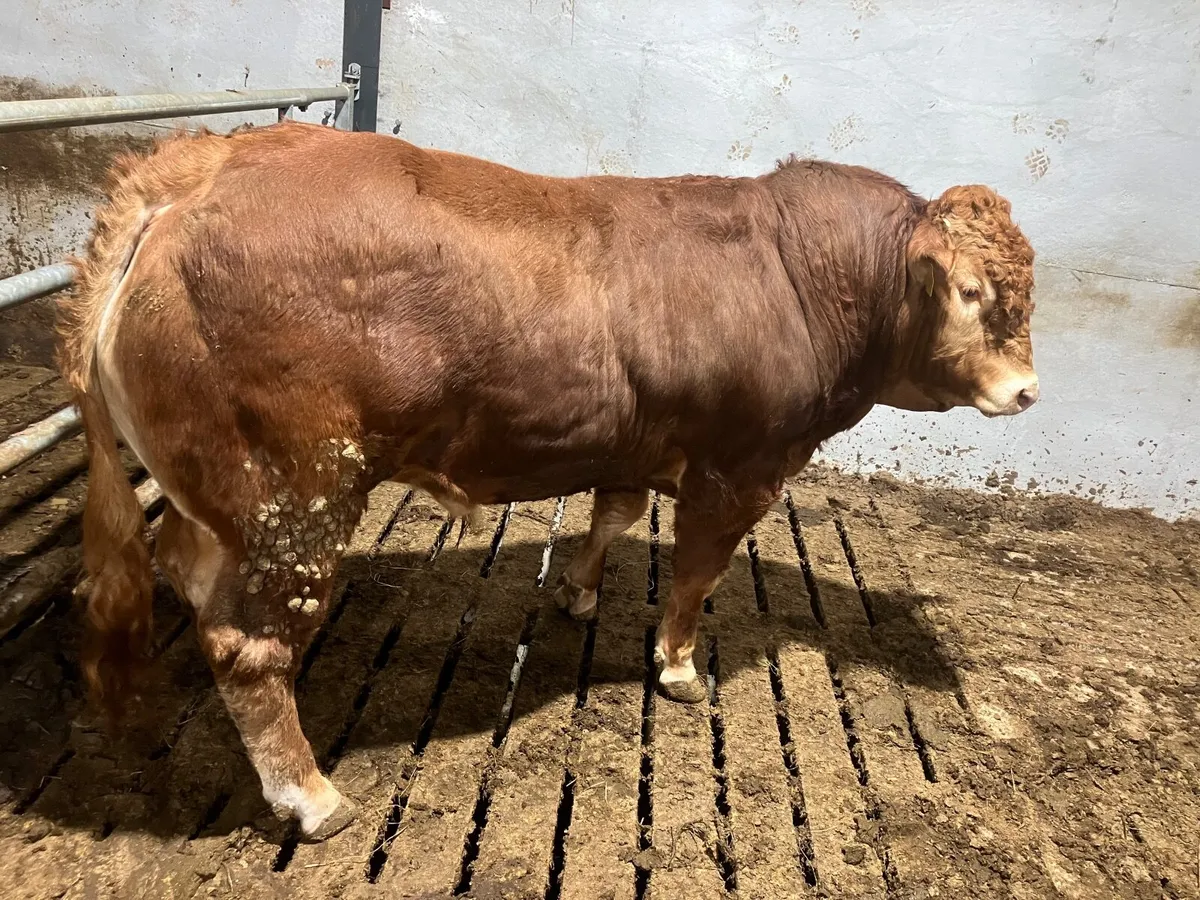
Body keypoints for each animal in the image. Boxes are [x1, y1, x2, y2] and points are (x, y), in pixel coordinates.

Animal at [58, 121, 1037, 839]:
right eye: (975, 293)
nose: (1028, 390)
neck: (800, 278)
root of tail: (193, 170)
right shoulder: (740, 467)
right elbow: (695, 576)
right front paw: (678, 668)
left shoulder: (633, 441)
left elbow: (615, 513)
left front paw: (578, 592)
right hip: (296, 496)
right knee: (248, 647)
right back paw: (313, 797)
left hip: (223, 497)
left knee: (188, 570)